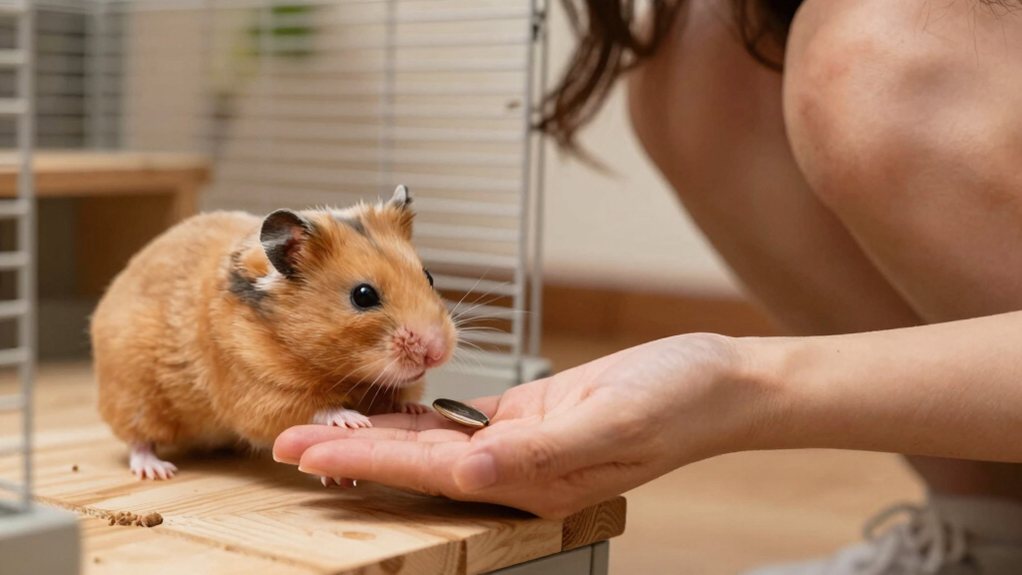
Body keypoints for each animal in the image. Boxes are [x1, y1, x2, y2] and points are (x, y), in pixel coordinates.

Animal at [90, 186, 456, 480]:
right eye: (363, 296)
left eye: (428, 277)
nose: (437, 353)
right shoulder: (261, 393)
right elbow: (313, 409)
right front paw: (352, 421)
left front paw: (415, 410)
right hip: (135, 397)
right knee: (138, 440)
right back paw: (157, 471)